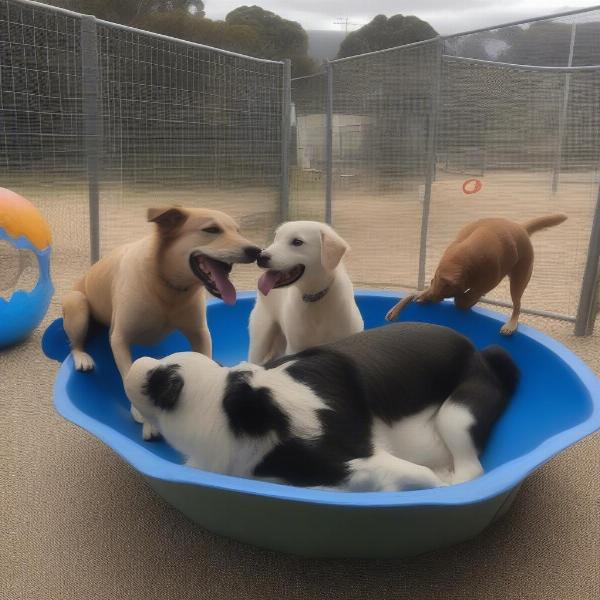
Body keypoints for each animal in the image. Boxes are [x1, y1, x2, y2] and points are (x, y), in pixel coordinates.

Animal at [62, 206, 262, 436]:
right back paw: (82, 357)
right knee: (75, 343)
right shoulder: (120, 338)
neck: (165, 284)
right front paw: (144, 415)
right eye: (212, 229)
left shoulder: (199, 333)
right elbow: (128, 374)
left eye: (238, 231)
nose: (257, 251)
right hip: (78, 305)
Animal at [124, 324, 516, 492]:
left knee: (470, 469)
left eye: (160, 382)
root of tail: (481, 353)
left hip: (457, 415)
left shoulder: (355, 456)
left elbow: (420, 477)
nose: (137, 364)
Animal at [247, 220, 360, 360]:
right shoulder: (295, 349)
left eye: (297, 242)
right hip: (260, 339)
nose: (260, 256)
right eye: (276, 238)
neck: (315, 299)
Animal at [384, 213, 568, 336]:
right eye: (432, 280)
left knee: (517, 304)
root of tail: (521, 227)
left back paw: (510, 324)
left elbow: (463, 300)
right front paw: (403, 305)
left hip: (519, 279)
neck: (463, 260)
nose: (427, 298)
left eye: (444, 288)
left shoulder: (486, 282)